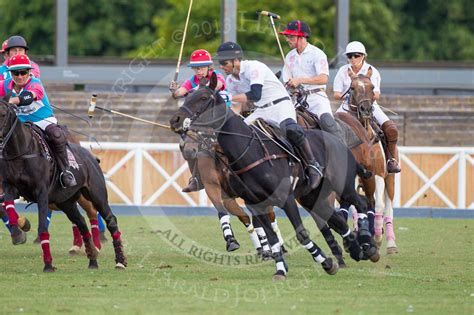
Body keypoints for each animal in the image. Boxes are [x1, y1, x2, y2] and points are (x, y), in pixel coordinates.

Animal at [0, 100, 128, 272]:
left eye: (3, 114)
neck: (21, 152)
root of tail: (91, 156)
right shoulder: (9, 187)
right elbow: (8, 207)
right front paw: (21, 226)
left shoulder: (42, 193)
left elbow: (43, 228)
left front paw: (48, 264)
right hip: (66, 202)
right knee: (81, 223)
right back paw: (92, 260)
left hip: (96, 195)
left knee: (109, 219)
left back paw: (119, 260)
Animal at [169, 74, 378, 282]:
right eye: (187, 96)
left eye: (203, 98)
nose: (175, 120)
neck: (248, 151)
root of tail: (339, 140)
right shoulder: (256, 203)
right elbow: (272, 238)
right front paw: (280, 270)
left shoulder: (286, 198)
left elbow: (301, 234)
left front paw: (326, 263)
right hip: (311, 197)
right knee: (336, 219)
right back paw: (356, 250)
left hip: (343, 186)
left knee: (362, 202)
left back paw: (368, 246)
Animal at [334, 73, 400, 254]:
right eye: (352, 87)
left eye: (372, 87)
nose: (366, 110)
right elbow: (354, 206)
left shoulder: (377, 174)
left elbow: (378, 206)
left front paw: (377, 237)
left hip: (389, 178)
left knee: (387, 206)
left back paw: (390, 243)